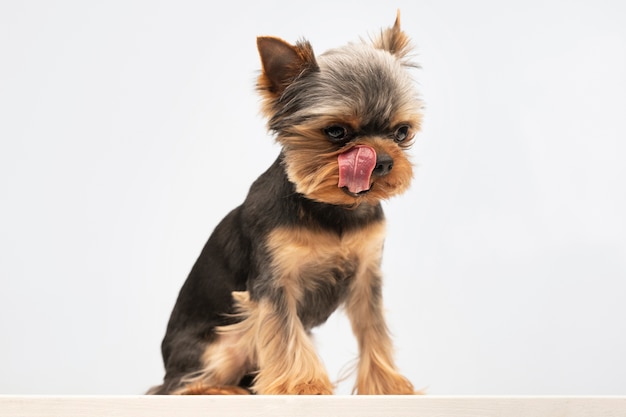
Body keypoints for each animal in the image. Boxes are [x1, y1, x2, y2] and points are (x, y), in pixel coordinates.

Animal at [149, 10, 422, 394]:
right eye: (336, 131)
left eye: (402, 132)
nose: (382, 161)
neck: (330, 207)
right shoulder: (273, 281)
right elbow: (284, 332)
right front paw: (302, 385)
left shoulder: (367, 277)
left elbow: (374, 330)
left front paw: (387, 386)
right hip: (222, 343)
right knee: (181, 385)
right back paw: (224, 389)